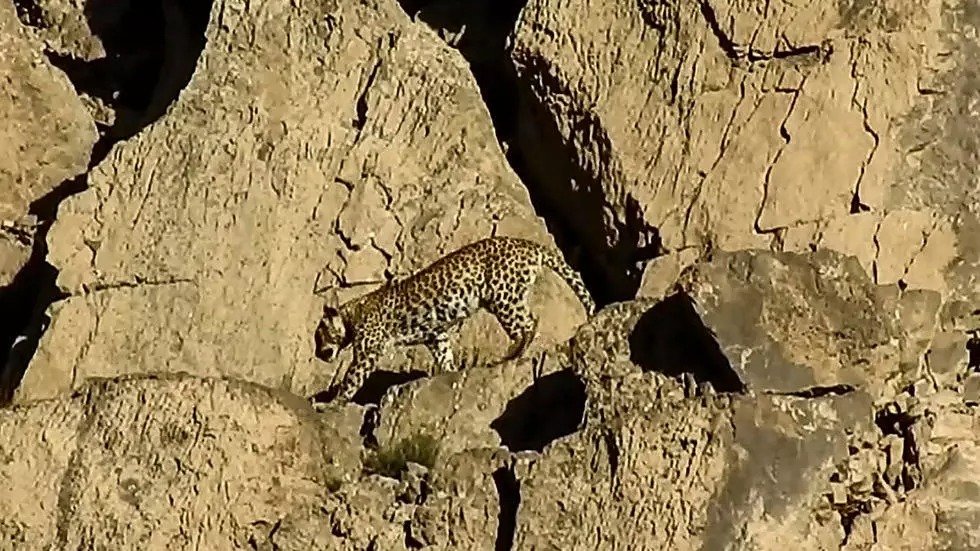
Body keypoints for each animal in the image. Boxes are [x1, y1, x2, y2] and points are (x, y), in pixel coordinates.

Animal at [313, 236, 596, 403]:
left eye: (320, 336)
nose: (318, 354)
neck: (351, 314)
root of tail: (528, 244)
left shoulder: (368, 351)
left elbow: (352, 378)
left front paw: (334, 403)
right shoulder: (436, 335)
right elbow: (445, 355)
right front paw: (448, 373)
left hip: (502, 295)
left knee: (527, 323)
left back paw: (511, 355)